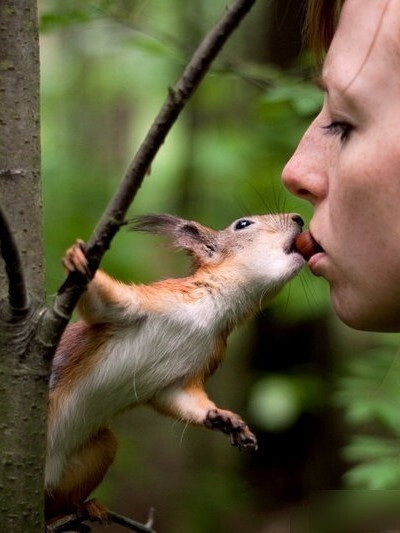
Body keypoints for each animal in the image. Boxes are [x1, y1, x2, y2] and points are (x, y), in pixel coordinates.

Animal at [45, 211, 304, 520]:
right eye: (242, 224)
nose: (299, 218)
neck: (214, 310)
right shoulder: (151, 299)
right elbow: (103, 303)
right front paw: (78, 259)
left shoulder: (193, 369)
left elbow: (181, 399)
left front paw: (225, 419)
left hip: (98, 451)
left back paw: (81, 508)